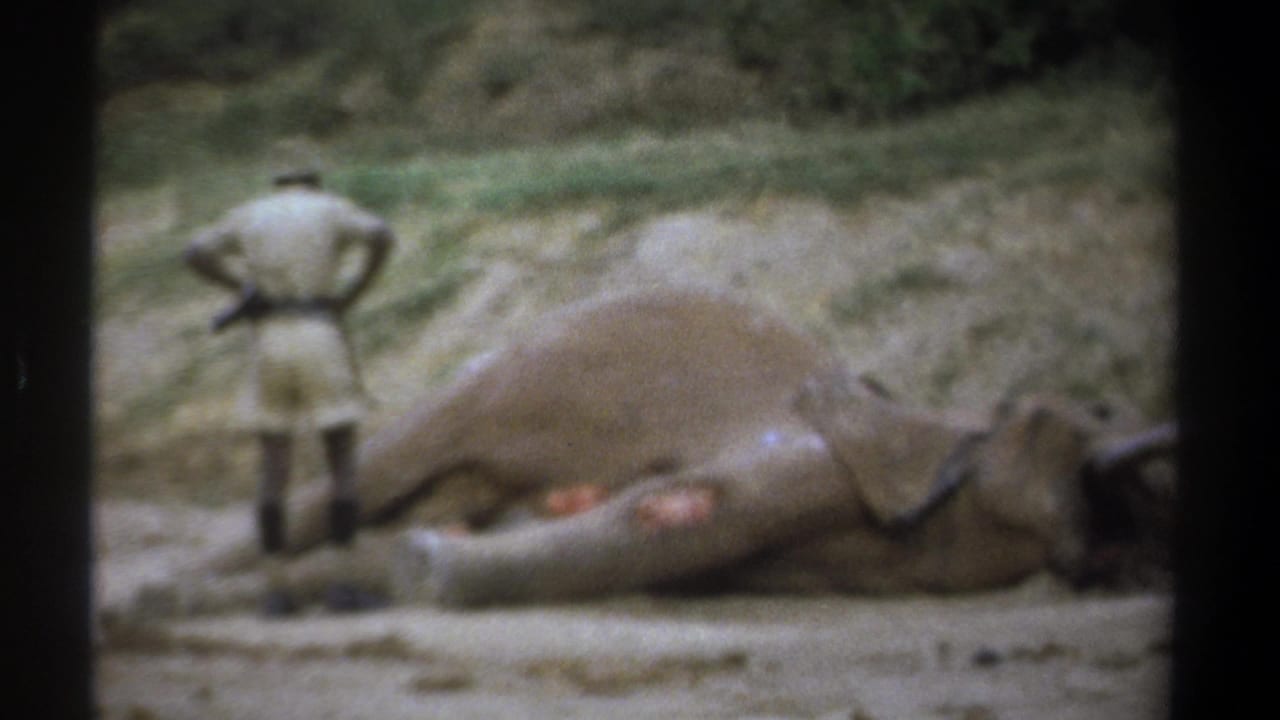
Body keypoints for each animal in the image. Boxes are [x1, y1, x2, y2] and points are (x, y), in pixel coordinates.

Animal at [127, 288, 1175, 616]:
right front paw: (421, 571)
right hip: (523, 364)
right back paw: (152, 598)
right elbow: (679, 506)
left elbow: (678, 526)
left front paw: (413, 568)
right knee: (389, 458)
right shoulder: (826, 447)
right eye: (1054, 419)